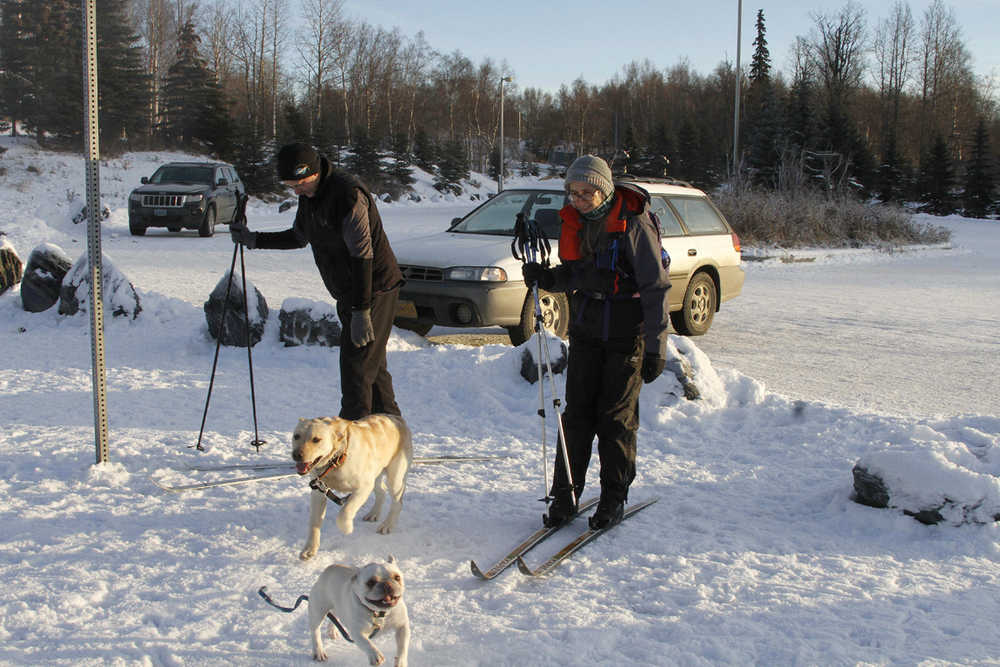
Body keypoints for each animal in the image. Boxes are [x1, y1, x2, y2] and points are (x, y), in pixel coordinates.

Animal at [292, 414, 412, 560]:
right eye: (296, 436)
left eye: (316, 439)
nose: (296, 455)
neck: (337, 460)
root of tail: (396, 418)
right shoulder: (318, 493)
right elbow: (314, 524)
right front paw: (310, 549)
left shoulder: (363, 487)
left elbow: (345, 511)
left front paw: (347, 528)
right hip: (376, 475)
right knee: (382, 492)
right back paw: (373, 514)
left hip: (395, 478)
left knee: (397, 503)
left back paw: (387, 525)